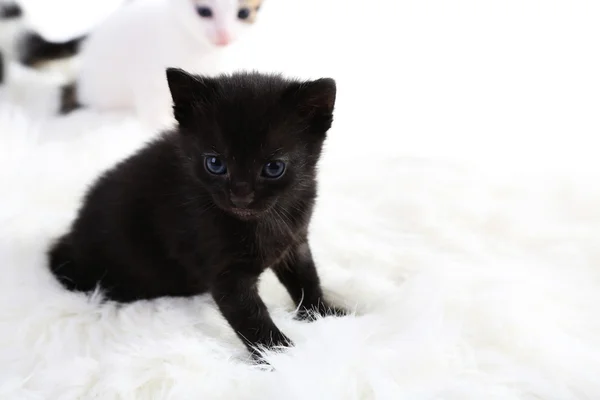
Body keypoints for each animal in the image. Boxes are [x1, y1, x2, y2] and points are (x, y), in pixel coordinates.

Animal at [48, 68, 342, 356]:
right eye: (215, 163)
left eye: (273, 168)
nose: (240, 196)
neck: (265, 219)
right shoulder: (225, 273)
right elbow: (252, 318)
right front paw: (283, 355)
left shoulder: (296, 241)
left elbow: (307, 279)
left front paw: (327, 314)